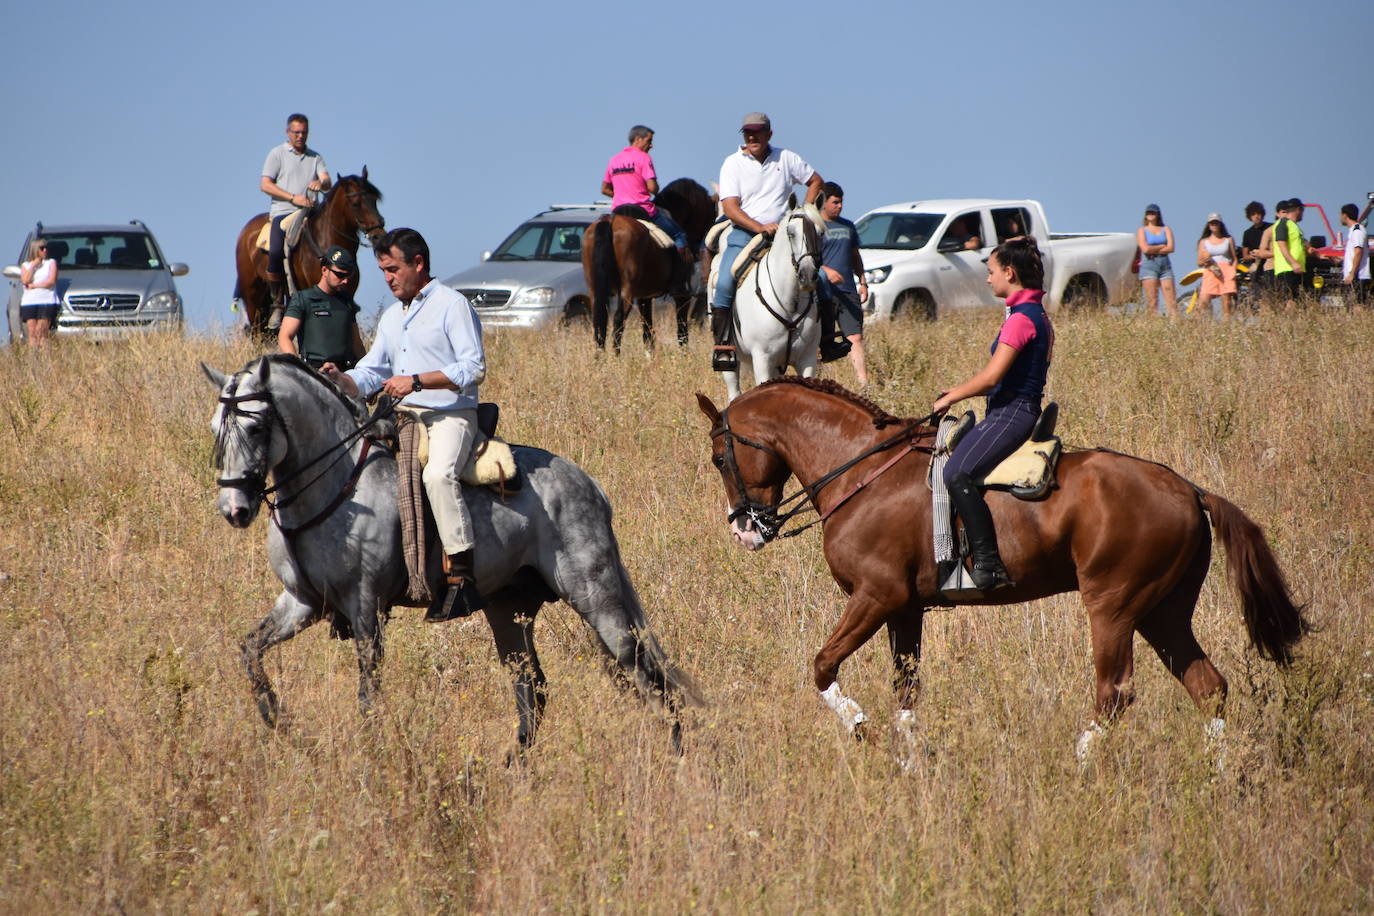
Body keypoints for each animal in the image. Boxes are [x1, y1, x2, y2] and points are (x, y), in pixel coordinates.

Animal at [203, 354, 697, 752]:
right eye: (216, 428)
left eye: (256, 426)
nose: (234, 509)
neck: (341, 484)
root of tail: (588, 484)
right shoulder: (301, 603)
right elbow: (250, 652)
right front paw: (281, 725)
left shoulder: (366, 607)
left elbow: (368, 694)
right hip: (508, 610)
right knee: (532, 688)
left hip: (597, 598)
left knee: (645, 672)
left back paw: (676, 754)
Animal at [233, 170, 387, 335]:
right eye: (355, 204)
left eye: (374, 200)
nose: (379, 236)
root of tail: (245, 234)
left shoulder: (347, 298)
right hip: (252, 297)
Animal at [579, 177, 714, 354]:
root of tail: (610, 221)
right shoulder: (682, 296)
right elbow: (682, 331)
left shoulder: (645, 296)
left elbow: (648, 330)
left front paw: (650, 355)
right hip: (626, 290)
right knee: (618, 319)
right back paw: (615, 357)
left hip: (596, 288)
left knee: (599, 319)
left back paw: (600, 356)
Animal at [697, 376, 1308, 763]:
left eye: (720, 457)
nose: (744, 529)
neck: (862, 472)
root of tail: (1188, 489)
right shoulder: (905, 610)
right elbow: (907, 693)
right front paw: (911, 765)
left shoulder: (876, 596)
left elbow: (823, 666)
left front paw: (859, 728)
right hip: (1164, 612)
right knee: (1209, 687)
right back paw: (1220, 777)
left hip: (1114, 605)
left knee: (1115, 692)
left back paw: (1081, 763)